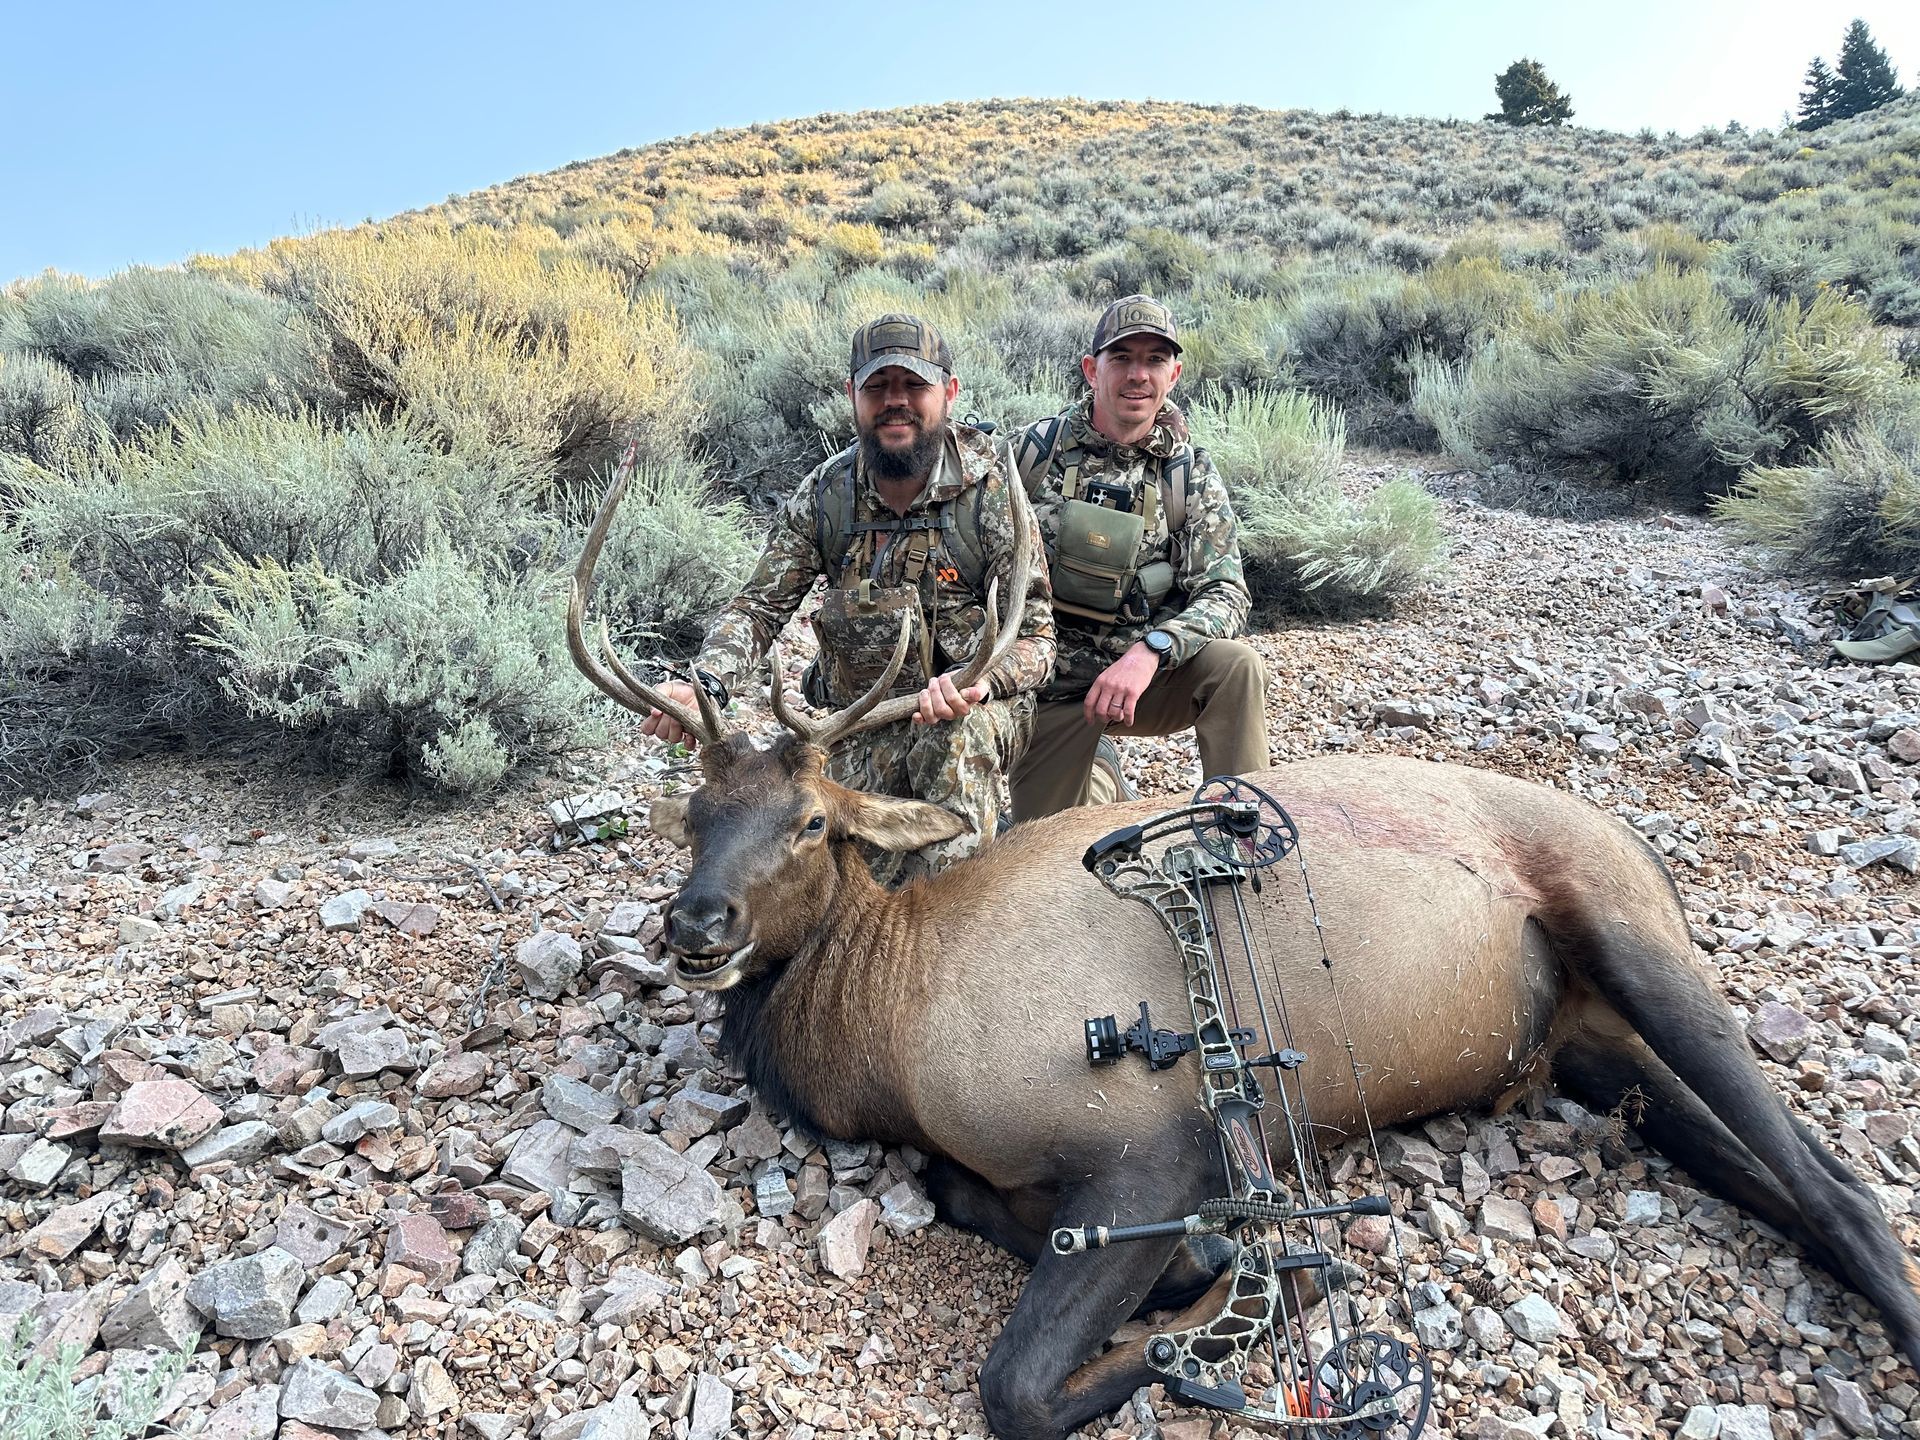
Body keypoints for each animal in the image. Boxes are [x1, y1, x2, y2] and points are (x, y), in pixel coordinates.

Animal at [569, 472, 1920, 1440]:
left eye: (809, 822)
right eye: (693, 816)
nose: (696, 928)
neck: (883, 1039)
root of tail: (1642, 843)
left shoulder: (1156, 1140)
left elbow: (1025, 1386)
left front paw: (1241, 1286)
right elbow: (966, 1201)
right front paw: (1205, 1267)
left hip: (1631, 936)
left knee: (1844, 1188)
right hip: (1593, 1047)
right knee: (1773, 1173)